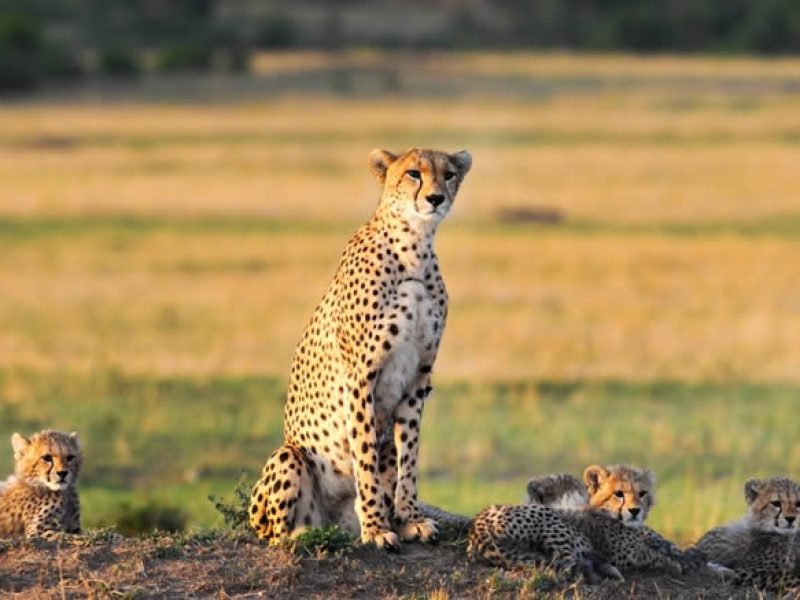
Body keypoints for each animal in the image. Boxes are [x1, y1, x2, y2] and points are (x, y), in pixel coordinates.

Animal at [249, 148, 472, 550]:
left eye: (448, 174)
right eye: (413, 173)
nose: (435, 198)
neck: (414, 246)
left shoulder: (418, 380)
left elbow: (408, 456)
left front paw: (409, 519)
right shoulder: (360, 378)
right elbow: (364, 455)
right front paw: (376, 528)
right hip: (288, 457)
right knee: (274, 535)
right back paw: (306, 533)